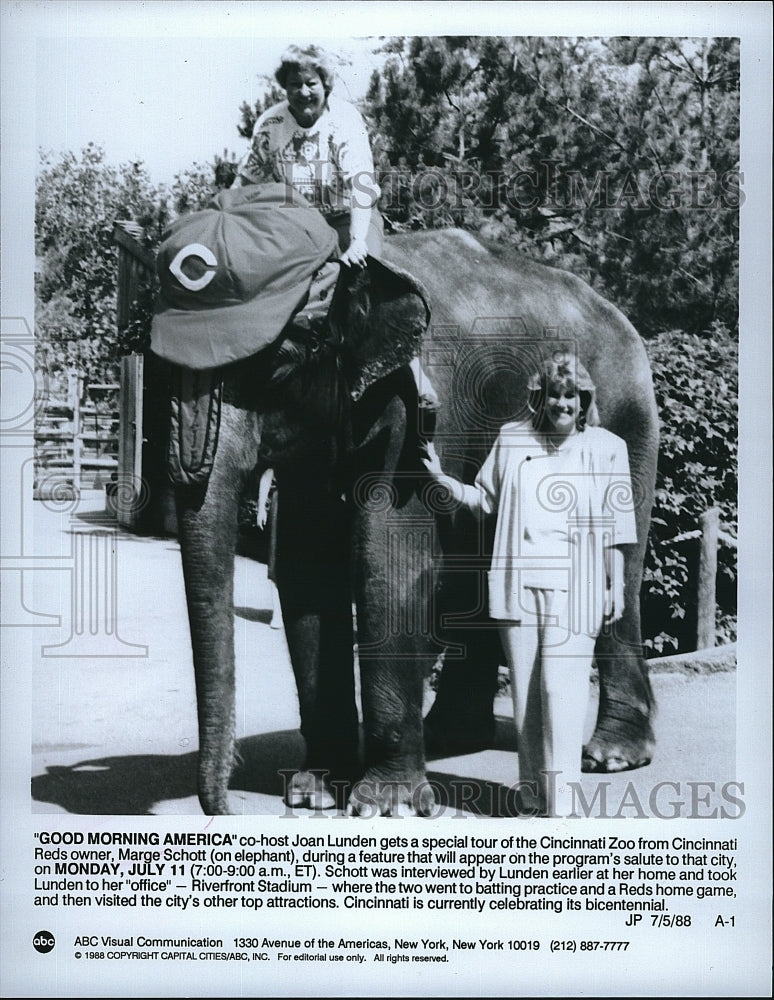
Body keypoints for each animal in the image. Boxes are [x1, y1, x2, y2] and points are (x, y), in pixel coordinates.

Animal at [167, 227, 656, 820]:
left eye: (279, 364)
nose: (230, 806)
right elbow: (310, 568)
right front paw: (314, 792)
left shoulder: (412, 401)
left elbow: (392, 561)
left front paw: (384, 805)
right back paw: (452, 736)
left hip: (629, 420)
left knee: (621, 568)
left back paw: (611, 756)